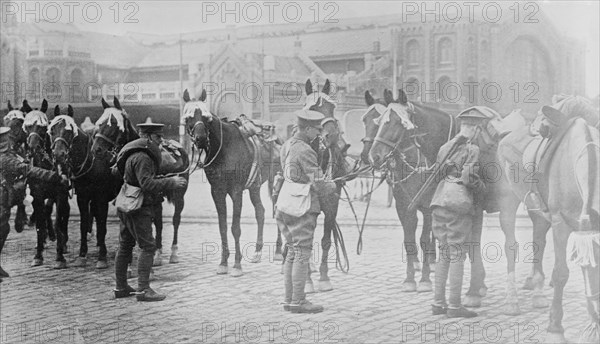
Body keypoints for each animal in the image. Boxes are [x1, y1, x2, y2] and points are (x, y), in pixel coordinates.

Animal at [22, 99, 69, 268]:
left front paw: (60, 256)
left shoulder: (61, 193)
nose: (32, 148)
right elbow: (40, 223)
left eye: (43, 128)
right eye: (27, 126)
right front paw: (38, 255)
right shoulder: (37, 194)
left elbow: (60, 220)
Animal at [70, 97, 139, 268]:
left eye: (114, 123)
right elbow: (84, 224)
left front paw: (103, 257)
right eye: (99, 124)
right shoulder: (84, 197)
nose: (97, 149)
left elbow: (104, 225)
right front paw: (82, 255)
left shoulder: (102, 198)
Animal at [180, 88, 282, 276]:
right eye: (189, 117)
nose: (200, 138)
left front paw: (236, 264)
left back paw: (279, 251)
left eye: (206, 117)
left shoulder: (236, 191)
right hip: (255, 187)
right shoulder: (217, 191)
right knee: (260, 212)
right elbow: (223, 226)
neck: (224, 148)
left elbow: (235, 228)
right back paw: (257, 251)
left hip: (277, 182)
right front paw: (223, 263)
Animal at [496, 96, 600, 342]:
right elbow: (561, 273)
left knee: (538, 243)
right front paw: (555, 328)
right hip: (508, 199)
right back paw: (512, 300)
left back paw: (538, 292)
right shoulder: (561, 222)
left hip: (538, 210)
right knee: (510, 245)